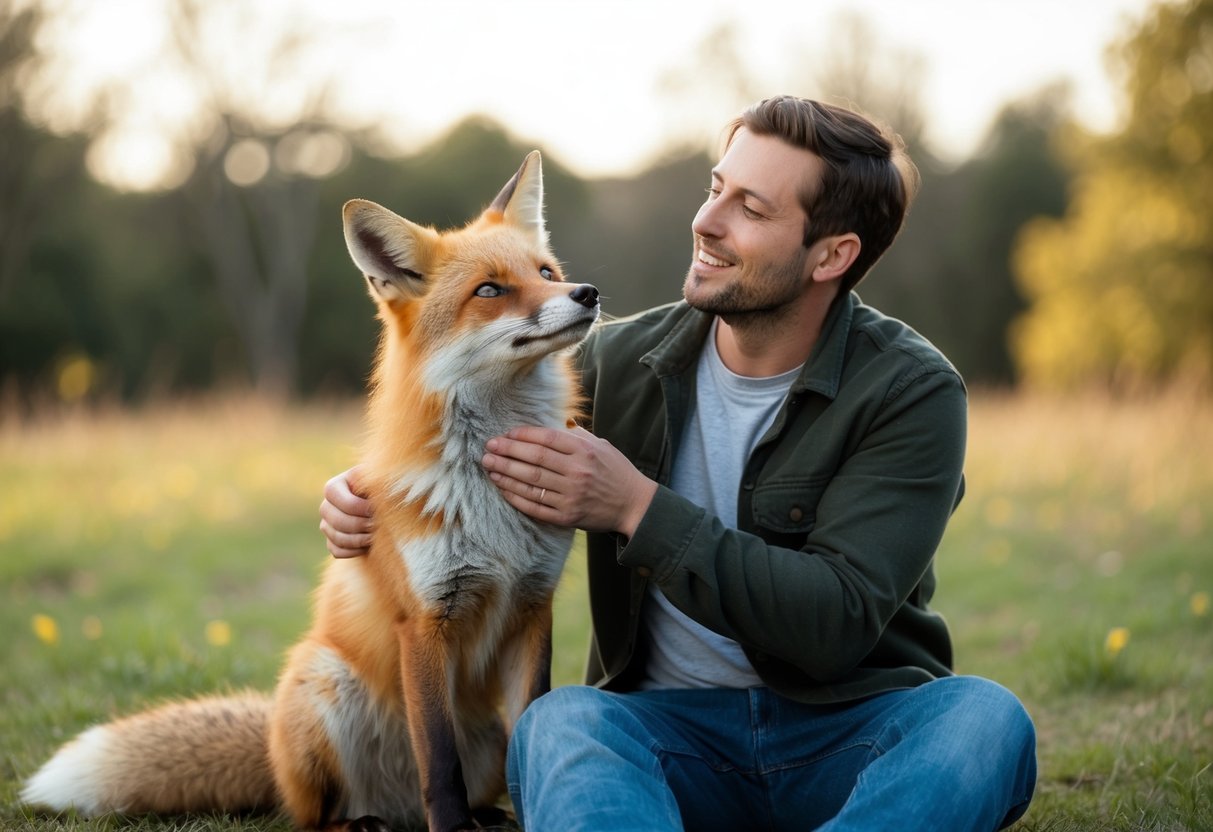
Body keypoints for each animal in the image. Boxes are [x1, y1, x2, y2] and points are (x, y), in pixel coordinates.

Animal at [21, 151, 600, 832]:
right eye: (489, 290)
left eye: (546, 273)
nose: (586, 294)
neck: (488, 500)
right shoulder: (423, 621)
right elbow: (438, 761)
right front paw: (453, 826)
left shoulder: (533, 608)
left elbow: (535, 726)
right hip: (320, 682)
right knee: (317, 814)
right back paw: (363, 822)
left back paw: (485, 817)